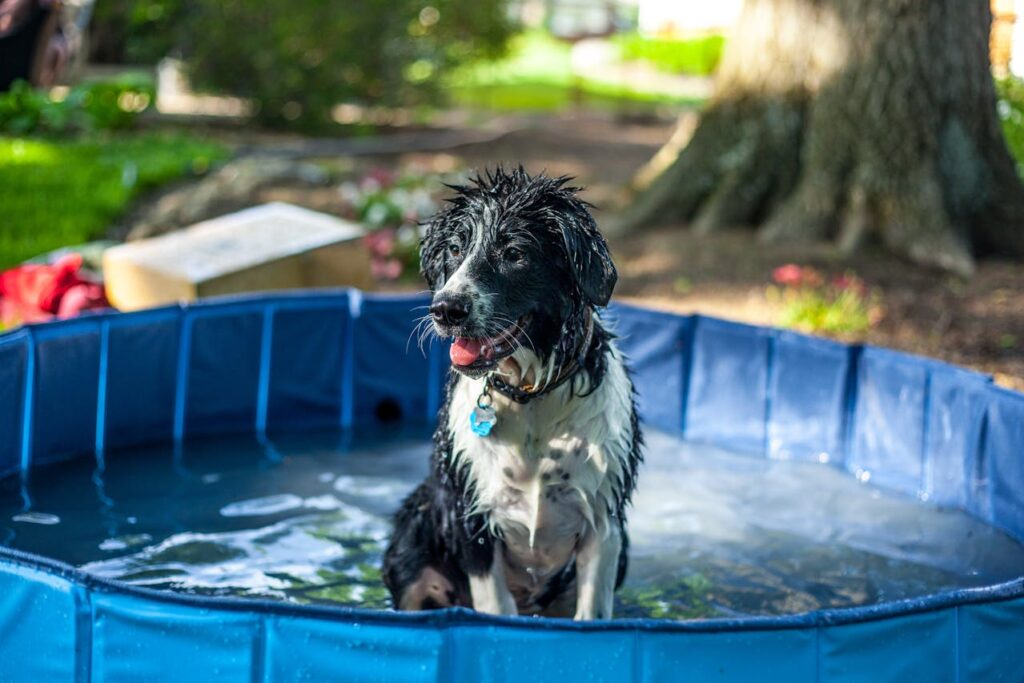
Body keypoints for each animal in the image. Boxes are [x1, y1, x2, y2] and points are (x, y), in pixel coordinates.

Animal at [385, 166, 638, 618]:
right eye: (455, 248)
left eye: (515, 253)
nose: (445, 309)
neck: (531, 395)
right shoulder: (471, 518)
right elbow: (496, 608)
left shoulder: (604, 523)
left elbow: (592, 611)